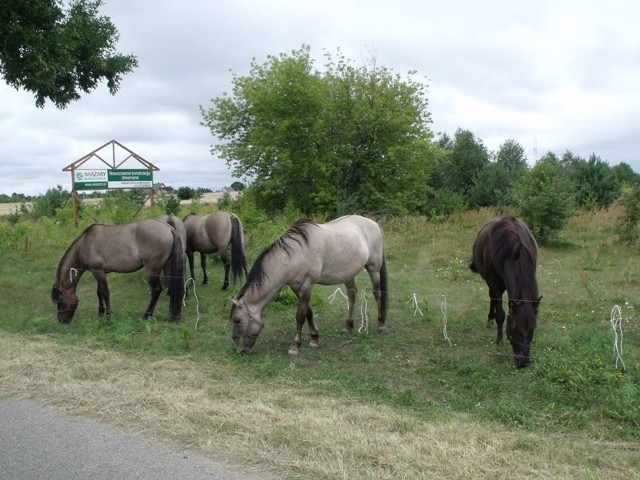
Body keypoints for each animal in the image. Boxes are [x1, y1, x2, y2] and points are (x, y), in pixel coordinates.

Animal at [52, 218, 185, 322]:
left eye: (60, 300)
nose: (61, 320)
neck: (85, 244)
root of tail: (169, 229)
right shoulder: (99, 272)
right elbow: (99, 292)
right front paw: (100, 312)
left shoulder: (98, 271)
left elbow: (105, 293)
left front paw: (108, 315)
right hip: (167, 266)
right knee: (171, 287)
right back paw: (172, 315)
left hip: (152, 269)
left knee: (156, 290)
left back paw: (146, 316)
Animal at [230, 216, 390, 354]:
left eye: (237, 320)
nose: (239, 350)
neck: (294, 255)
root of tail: (373, 224)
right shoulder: (296, 287)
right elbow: (309, 312)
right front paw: (314, 338)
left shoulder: (307, 285)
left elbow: (300, 315)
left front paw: (295, 346)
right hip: (348, 273)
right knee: (352, 294)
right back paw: (348, 326)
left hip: (374, 269)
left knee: (377, 294)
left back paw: (381, 324)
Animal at [468, 216, 544, 370]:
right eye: (514, 328)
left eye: (532, 328)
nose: (523, 362)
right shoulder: (495, 284)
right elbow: (501, 315)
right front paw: (499, 343)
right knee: (492, 297)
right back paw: (490, 320)